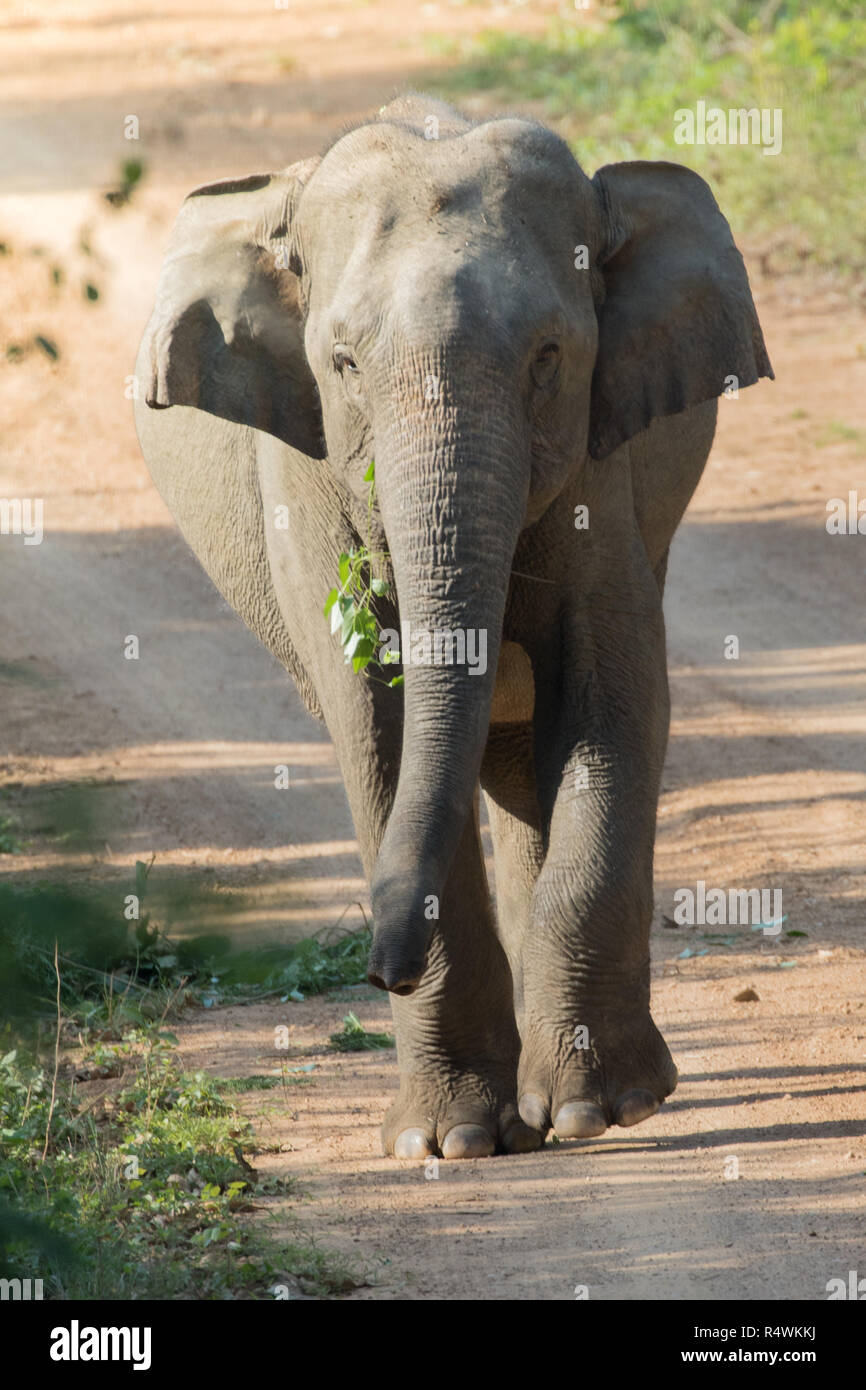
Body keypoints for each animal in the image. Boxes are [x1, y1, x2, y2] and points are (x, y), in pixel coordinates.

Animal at [134, 94, 772, 1160]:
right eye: (343, 363)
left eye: (550, 357)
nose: (378, 970)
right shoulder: (306, 475)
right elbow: (377, 729)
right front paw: (456, 1142)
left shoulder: (602, 462)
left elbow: (614, 700)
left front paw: (598, 1112)